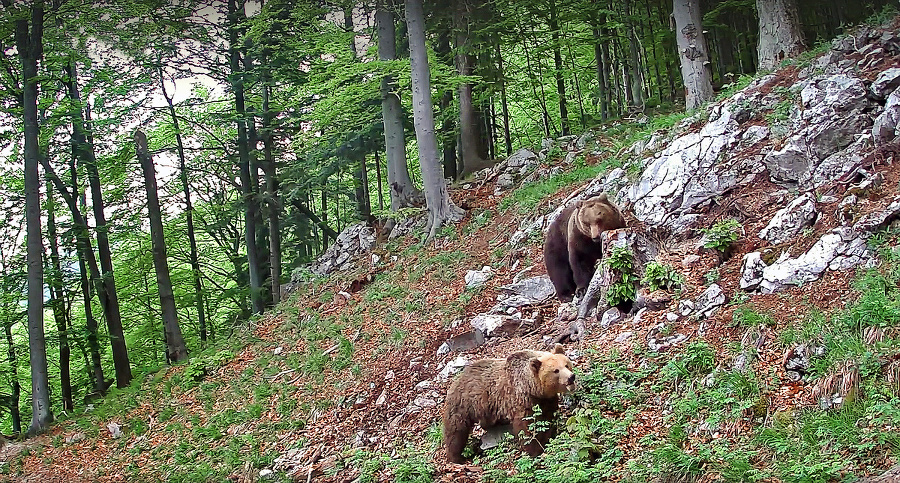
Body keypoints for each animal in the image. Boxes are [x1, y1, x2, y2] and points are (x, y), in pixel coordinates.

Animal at [442, 344, 576, 466]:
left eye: (566, 364)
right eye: (556, 370)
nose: (571, 377)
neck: (532, 387)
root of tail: (456, 379)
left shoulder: (545, 400)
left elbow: (547, 418)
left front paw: (547, 437)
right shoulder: (521, 399)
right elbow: (525, 426)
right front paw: (534, 450)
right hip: (464, 404)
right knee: (456, 431)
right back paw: (456, 458)